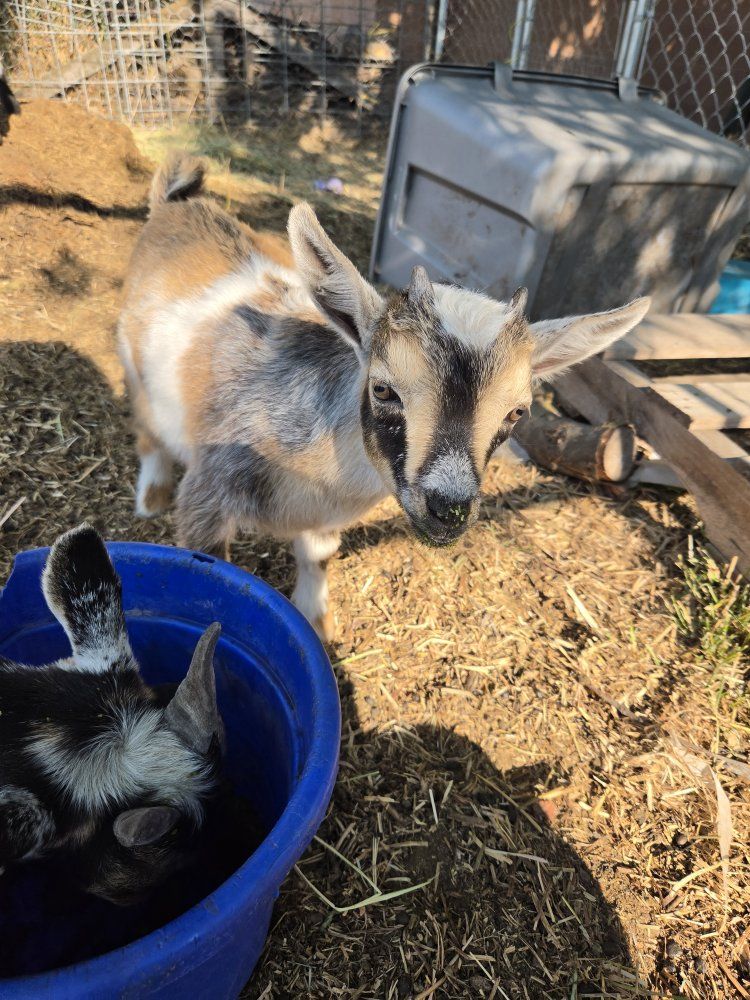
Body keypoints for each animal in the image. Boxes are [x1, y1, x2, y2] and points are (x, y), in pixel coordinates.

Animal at [118, 153, 650, 640]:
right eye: (383, 388)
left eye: (518, 411)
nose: (448, 510)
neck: (320, 478)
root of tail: (174, 206)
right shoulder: (208, 498)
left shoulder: (325, 520)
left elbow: (318, 558)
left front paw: (319, 623)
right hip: (132, 364)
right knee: (146, 428)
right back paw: (151, 496)